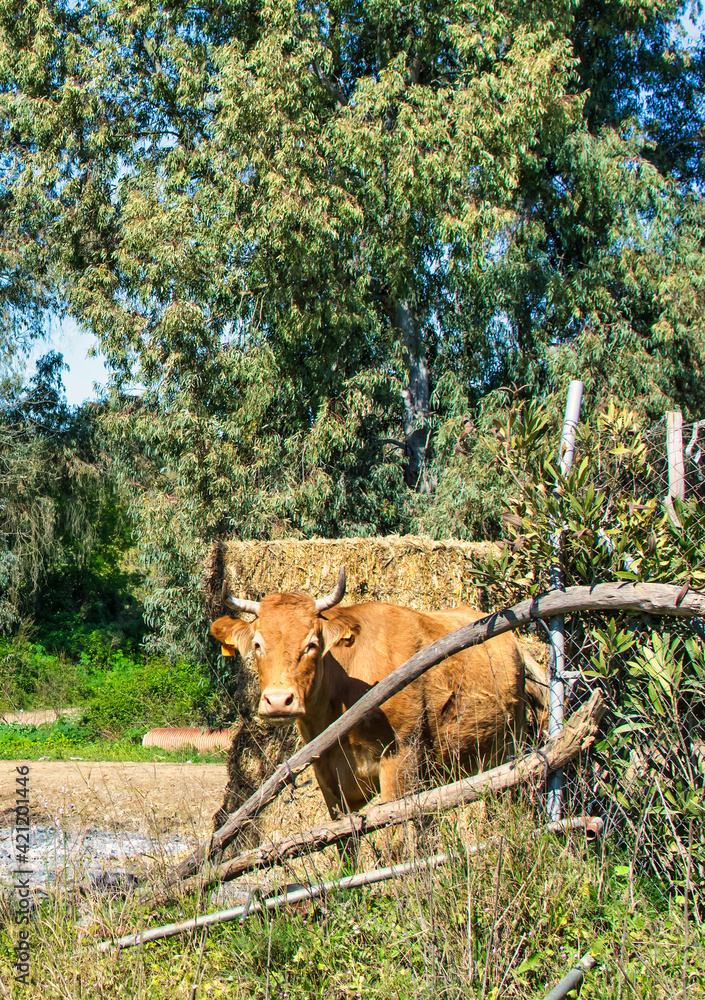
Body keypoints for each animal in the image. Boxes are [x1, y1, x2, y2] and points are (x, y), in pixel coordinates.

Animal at [210, 567, 533, 819]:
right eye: (257, 644)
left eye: (312, 644)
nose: (279, 701)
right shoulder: (330, 782)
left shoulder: (400, 762)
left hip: (507, 748)